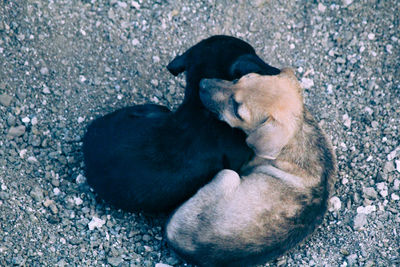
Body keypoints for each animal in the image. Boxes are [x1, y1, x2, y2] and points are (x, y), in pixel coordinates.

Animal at [166, 69, 338, 267]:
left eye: (236, 110)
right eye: (238, 79)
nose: (202, 83)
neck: (298, 136)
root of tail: (179, 244)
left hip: (228, 175)